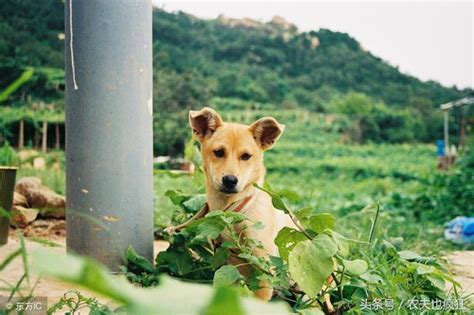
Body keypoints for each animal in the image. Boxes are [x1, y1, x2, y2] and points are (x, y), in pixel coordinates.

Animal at [190, 108, 296, 302]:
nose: (230, 180)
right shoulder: (228, 264)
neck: (233, 213)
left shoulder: (263, 268)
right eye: (218, 152)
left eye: (246, 156)